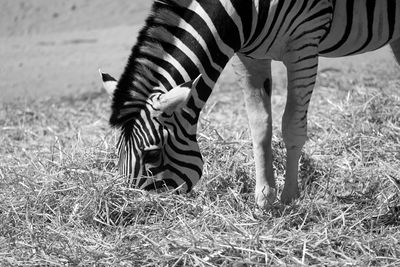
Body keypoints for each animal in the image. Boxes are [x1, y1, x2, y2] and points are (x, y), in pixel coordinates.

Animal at [101, 0, 400, 207]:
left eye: (152, 156)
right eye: (117, 152)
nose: (135, 209)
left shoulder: (303, 44)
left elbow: (292, 126)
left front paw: (289, 197)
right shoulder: (248, 56)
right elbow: (260, 126)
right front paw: (264, 198)